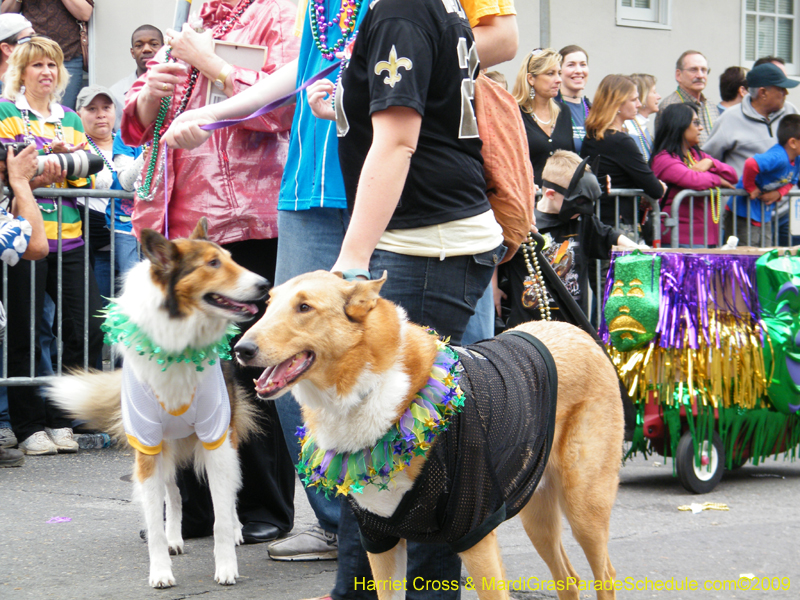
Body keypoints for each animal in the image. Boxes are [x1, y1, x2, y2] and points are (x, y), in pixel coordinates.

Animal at [46, 218, 266, 588]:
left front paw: (225, 567)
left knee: (231, 493)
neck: (178, 337)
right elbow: (155, 517)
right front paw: (161, 570)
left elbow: (221, 514)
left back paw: (238, 529)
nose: (264, 284)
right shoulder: (147, 445)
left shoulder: (216, 438)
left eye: (231, 259)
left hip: (225, 439)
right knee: (174, 495)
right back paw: (176, 538)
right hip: (166, 448)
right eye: (212, 263)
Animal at [231, 272, 624, 600]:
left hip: (584, 506)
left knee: (605, 574)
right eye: (268, 304)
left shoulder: (476, 535)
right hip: (536, 508)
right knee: (569, 579)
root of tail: (577, 331)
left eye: (304, 307)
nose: (240, 350)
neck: (366, 391)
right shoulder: (379, 537)